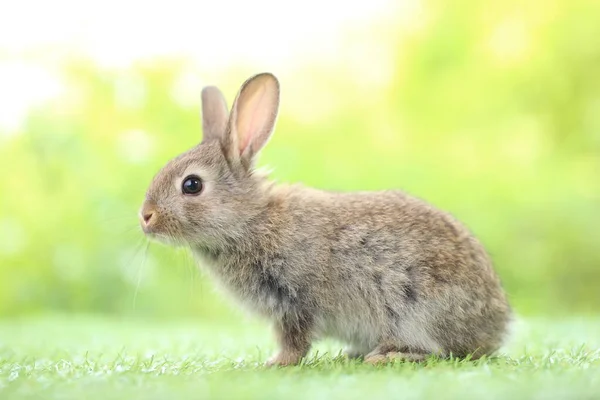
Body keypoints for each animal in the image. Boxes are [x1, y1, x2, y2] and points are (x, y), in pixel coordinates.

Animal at [138, 72, 512, 366]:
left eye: (192, 185)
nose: (145, 217)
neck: (250, 220)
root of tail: (496, 327)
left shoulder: (295, 300)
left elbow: (295, 339)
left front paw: (275, 363)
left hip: (415, 309)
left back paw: (387, 355)